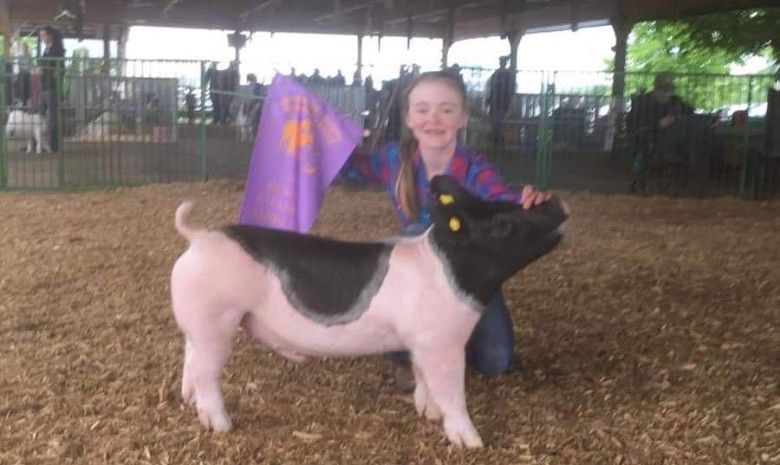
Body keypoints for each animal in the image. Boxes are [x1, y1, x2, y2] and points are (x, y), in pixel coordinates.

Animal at [171, 174, 568, 446]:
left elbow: (424, 378)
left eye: (505, 203)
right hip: (217, 319)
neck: (448, 271)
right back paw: (221, 425)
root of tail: (198, 237)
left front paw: (427, 413)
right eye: (504, 225)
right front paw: (472, 443)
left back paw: (187, 400)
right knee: (207, 373)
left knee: (191, 358)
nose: (554, 202)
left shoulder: (420, 343)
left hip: (201, 323)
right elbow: (451, 389)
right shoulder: (441, 342)